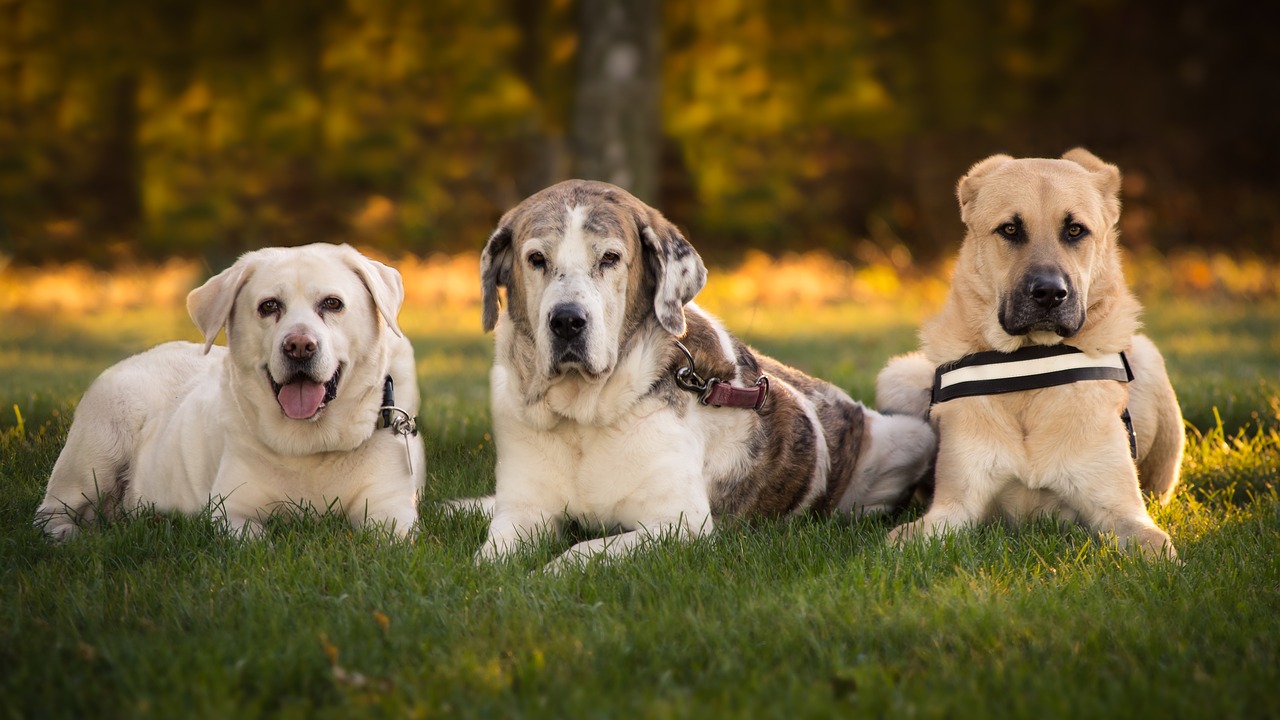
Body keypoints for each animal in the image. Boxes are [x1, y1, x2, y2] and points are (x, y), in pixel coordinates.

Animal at [880, 148, 1177, 558]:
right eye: (1010, 229)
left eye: (1075, 230)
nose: (1050, 293)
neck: (1030, 362)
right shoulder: (952, 509)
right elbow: (897, 544)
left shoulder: (1121, 509)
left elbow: (1156, 549)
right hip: (899, 376)